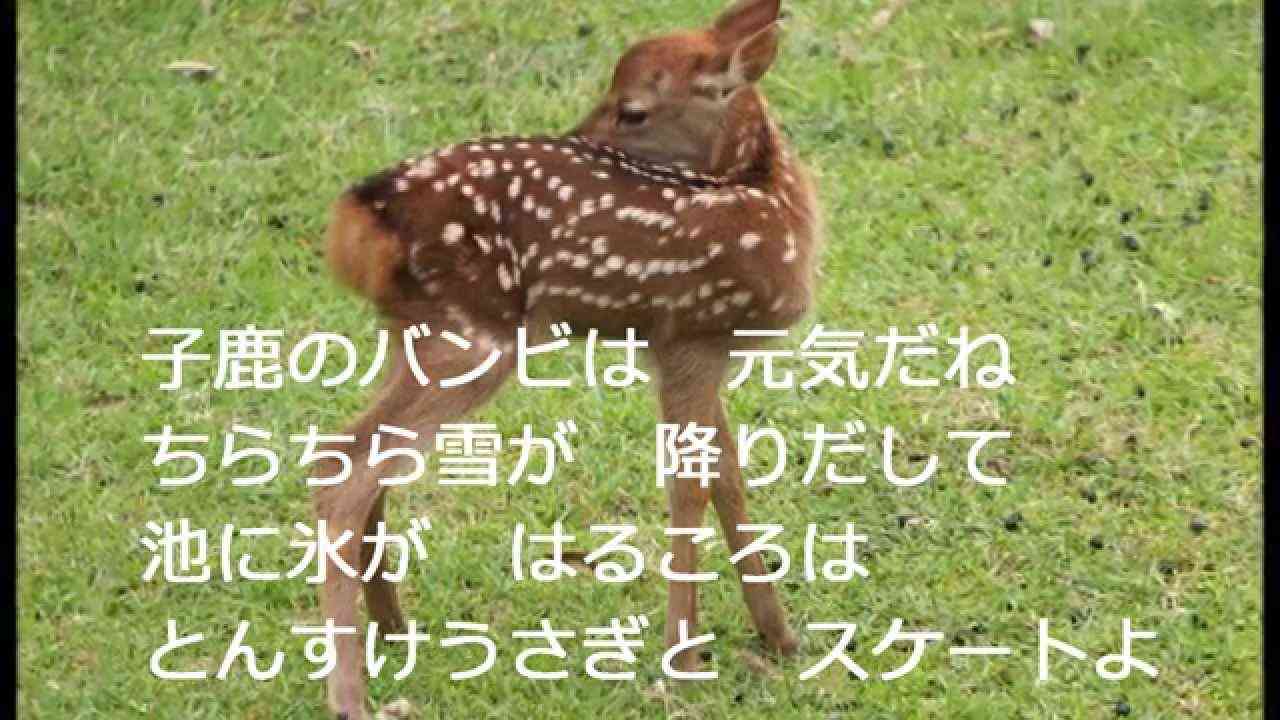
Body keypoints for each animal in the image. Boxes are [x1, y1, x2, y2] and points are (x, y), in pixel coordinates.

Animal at [317, 0, 820, 716]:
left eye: (632, 109)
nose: (575, 136)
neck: (772, 200)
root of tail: (357, 220)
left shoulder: (687, 350)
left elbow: (726, 474)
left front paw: (779, 636)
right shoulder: (691, 334)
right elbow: (690, 485)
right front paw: (683, 661)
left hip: (414, 331)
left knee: (366, 461)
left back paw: (395, 631)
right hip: (474, 337)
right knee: (348, 466)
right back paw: (352, 693)